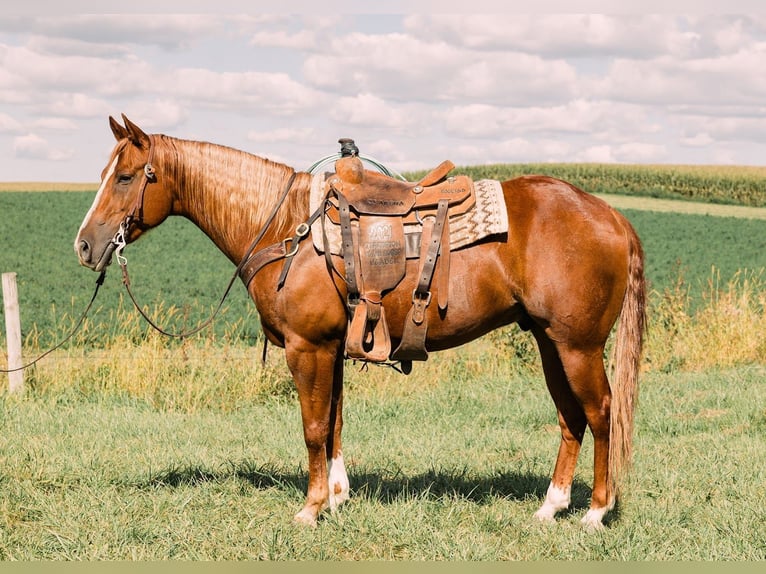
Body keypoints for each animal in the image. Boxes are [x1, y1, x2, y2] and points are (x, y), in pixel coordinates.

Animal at [75, 115, 646, 529]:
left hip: (577, 346)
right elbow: (334, 423)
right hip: (551, 343)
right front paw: (337, 496)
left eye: (125, 176)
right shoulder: (332, 348)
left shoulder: (306, 347)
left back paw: (595, 512)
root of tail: (612, 216)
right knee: (570, 417)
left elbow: (312, 427)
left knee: (601, 413)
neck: (288, 230)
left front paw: (310, 509)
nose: (84, 245)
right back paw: (551, 507)